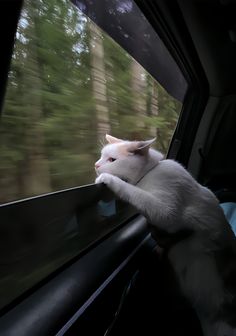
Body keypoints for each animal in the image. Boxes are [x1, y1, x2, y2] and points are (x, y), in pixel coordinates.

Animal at [95, 134, 236, 336]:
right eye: (101, 156)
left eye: (112, 160)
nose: (96, 165)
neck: (151, 171)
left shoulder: (166, 212)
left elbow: (134, 193)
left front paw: (108, 179)